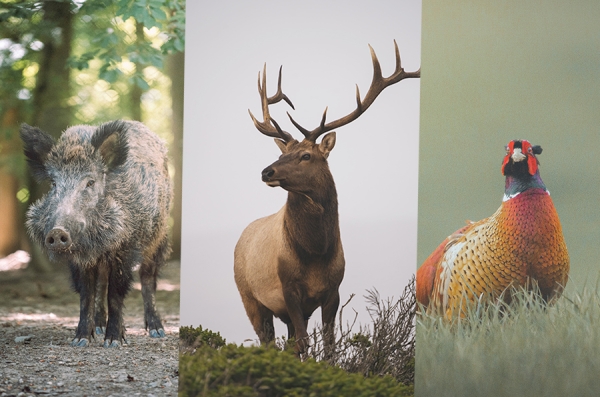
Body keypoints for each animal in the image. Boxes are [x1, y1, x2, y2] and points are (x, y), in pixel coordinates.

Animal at [232, 41, 420, 356]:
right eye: (282, 153)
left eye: (306, 155)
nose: (266, 171)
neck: (316, 252)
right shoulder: (288, 288)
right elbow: (303, 343)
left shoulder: (333, 290)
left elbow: (329, 344)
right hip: (249, 297)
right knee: (267, 340)